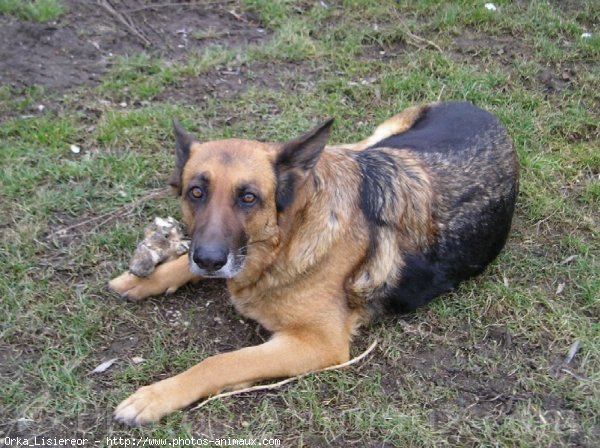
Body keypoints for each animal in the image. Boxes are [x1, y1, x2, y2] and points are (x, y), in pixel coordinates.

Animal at [110, 100, 516, 424]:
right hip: (368, 141)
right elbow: (189, 264)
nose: (209, 260)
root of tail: (480, 109)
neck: (289, 235)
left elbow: (222, 361)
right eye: (196, 192)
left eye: (248, 197)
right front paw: (146, 277)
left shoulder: (319, 344)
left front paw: (157, 395)